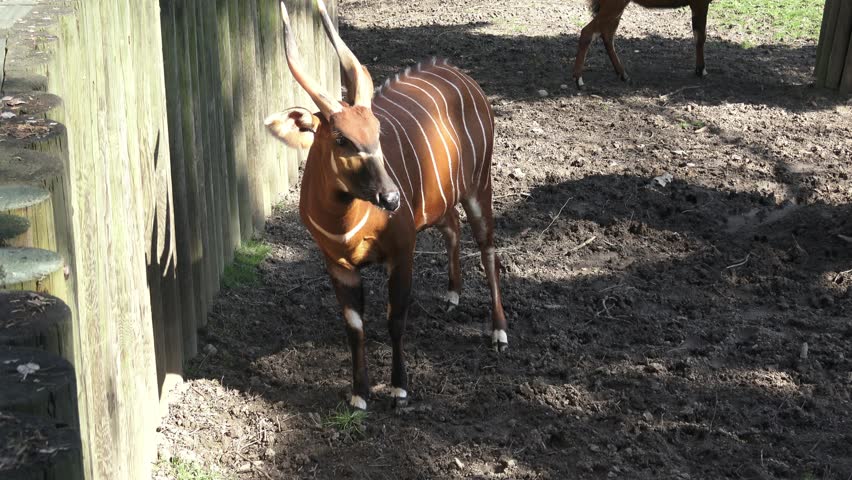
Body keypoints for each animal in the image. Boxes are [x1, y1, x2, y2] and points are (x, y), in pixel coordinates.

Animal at [264, 0, 507, 410]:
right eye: (341, 139)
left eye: (377, 133)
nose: (392, 198)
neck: (346, 226)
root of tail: (461, 75)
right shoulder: (338, 264)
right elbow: (355, 326)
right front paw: (359, 394)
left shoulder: (402, 249)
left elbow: (395, 319)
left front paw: (399, 388)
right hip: (439, 203)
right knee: (452, 227)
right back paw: (452, 295)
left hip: (479, 187)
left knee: (488, 248)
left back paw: (499, 332)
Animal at [573, 0, 713, 88]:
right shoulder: (700, 3)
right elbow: (700, 37)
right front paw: (701, 70)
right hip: (613, 6)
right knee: (587, 32)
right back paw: (579, 81)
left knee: (607, 35)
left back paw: (624, 75)